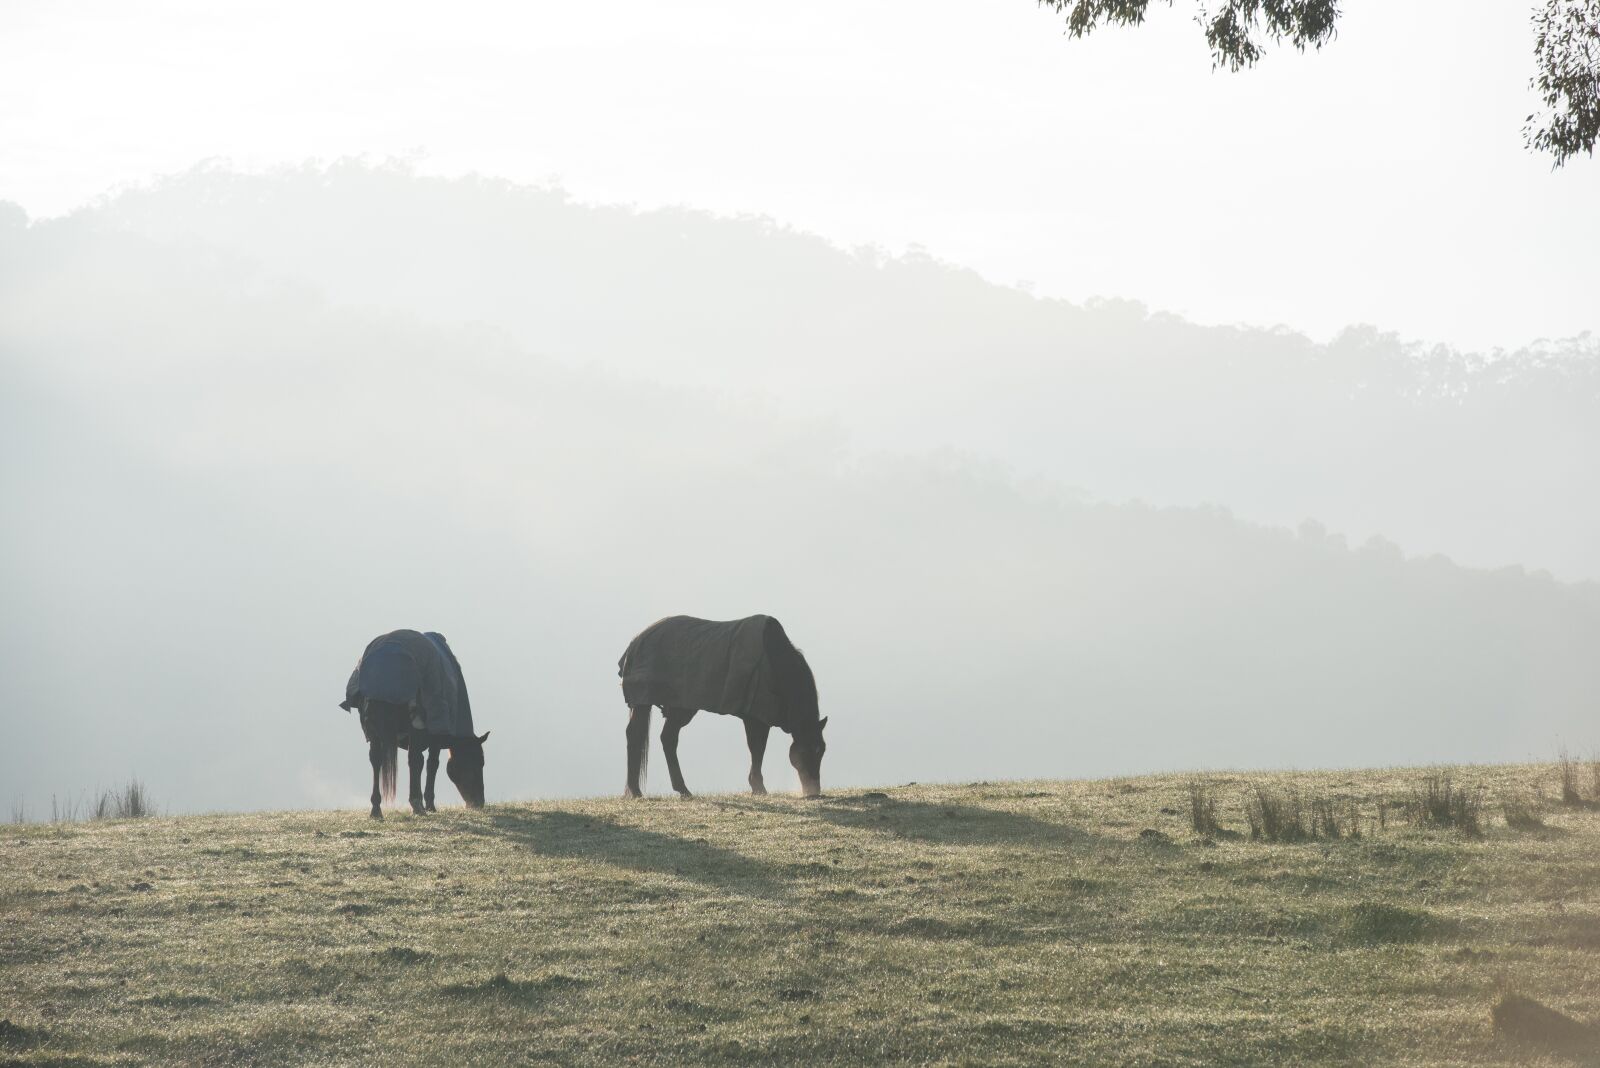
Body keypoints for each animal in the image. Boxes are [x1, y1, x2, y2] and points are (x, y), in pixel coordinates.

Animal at [339, 630, 490, 819]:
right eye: (478, 761)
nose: (478, 803)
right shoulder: (435, 736)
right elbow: (432, 764)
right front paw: (430, 804)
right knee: (414, 760)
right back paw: (416, 804)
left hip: (372, 727)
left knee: (376, 759)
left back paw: (376, 808)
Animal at [617, 614, 828, 799]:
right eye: (808, 750)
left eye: (822, 750)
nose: (813, 791)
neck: (774, 661)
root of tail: (635, 643)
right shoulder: (755, 717)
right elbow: (757, 749)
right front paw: (758, 787)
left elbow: (758, 750)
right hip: (650, 703)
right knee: (637, 735)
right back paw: (637, 791)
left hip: (679, 707)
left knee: (666, 738)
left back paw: (681, 789)